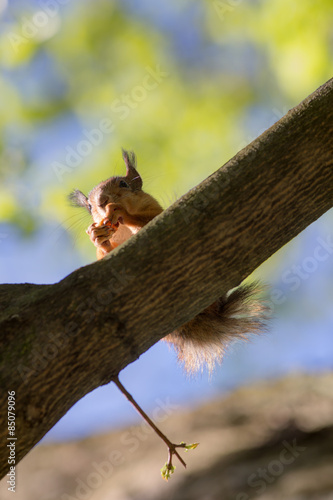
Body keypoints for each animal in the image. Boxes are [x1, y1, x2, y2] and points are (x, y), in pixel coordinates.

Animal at [69, 148, 268, 376]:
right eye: (89, 205)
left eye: (124, 184)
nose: (102, 201)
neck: (123, 231)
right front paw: (97, 236)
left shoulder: (157, 215)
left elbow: (146, 221)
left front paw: (121, 211)